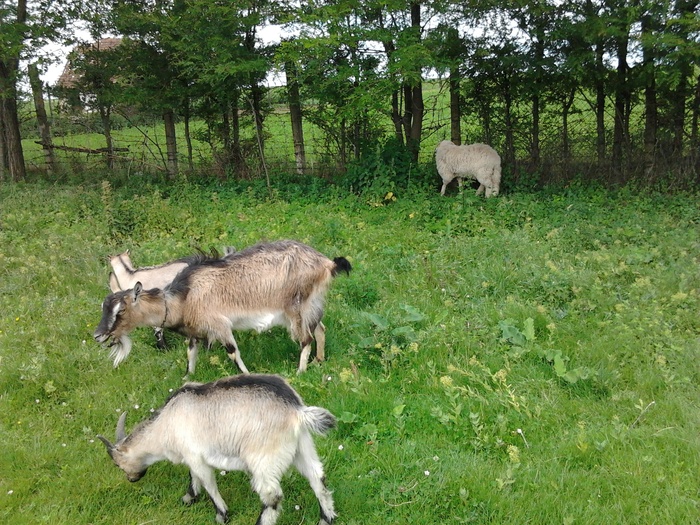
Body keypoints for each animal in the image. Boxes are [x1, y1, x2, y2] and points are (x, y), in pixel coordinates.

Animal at [98, 372, 336, 524]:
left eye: (117, 464)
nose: (131, 479)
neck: (165, 424)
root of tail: (296, 410)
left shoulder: (196, 457)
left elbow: (208, 483)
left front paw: (221, 515)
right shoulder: (191, 457)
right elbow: (193, 477)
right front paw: (189, 498)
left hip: (263, 458)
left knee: (272, 496)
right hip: (302, 446)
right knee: (318, 478)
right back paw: (326, 519)